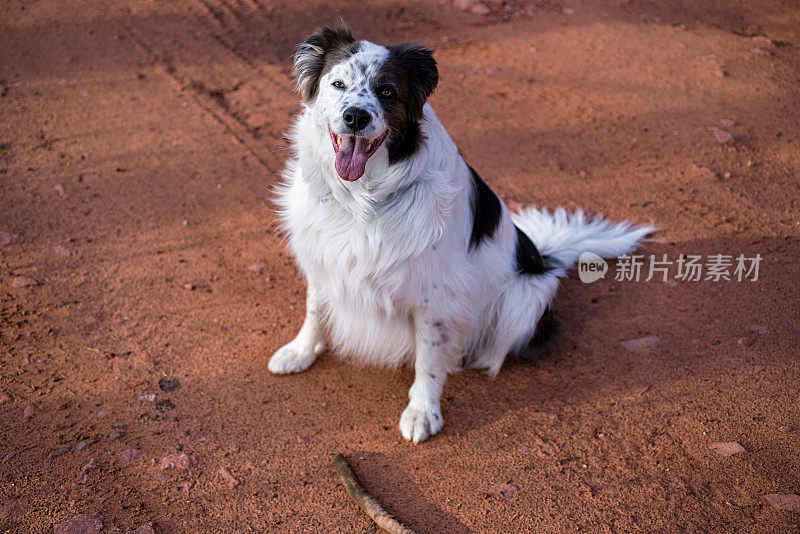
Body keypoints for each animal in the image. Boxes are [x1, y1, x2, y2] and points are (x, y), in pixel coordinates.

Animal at [272, 26, 652, 444]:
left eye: (387, 91)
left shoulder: (435, 295)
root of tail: (541, 257)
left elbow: (429, 357)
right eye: (337, 84)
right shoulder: (324, 259)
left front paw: (423, 411)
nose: (355, 117)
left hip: (525, 298)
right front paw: (301, 351)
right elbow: (314, 310)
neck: (362, 199)